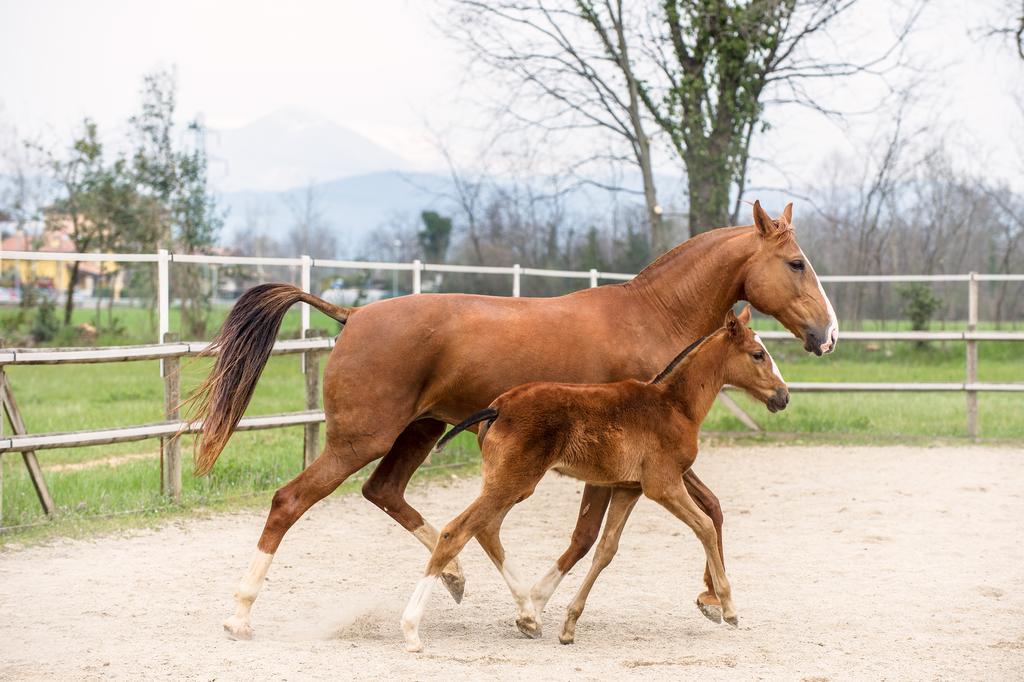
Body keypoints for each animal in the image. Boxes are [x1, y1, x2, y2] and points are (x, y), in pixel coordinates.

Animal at [403, 307, 786, 647]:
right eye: (757, 354)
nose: (783, 396)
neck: (674, 405)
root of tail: (497, 407)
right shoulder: (663, 485)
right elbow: (705, 526)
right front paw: (729, 608)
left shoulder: (627, 489)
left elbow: (606, 549)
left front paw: (568, 626)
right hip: (514, 481)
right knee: (456, 532)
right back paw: (412, 630)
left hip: (511, 484)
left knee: (487, 529)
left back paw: (528, 614)